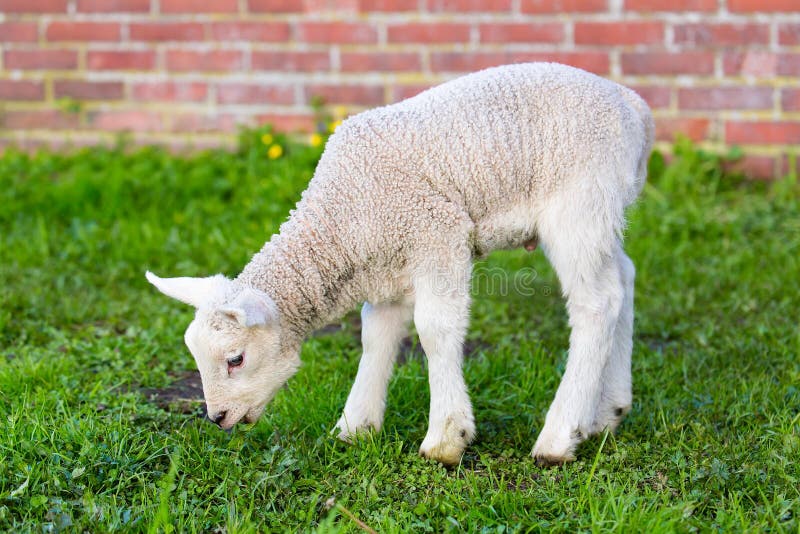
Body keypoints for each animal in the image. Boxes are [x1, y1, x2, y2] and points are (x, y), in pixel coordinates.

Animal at [146, 62, 654, 467]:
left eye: (235, 359)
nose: (218, 418)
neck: (340, 223)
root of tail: (634, 107)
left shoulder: (437, 234)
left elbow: (434, 331)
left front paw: (446, 439)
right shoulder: (385, 268)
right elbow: (376, 338)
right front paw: (354, 427)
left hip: (579, 202)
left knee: (596, 303)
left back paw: (559, 437)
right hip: (602, 209)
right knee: (624, 278)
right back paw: (609, 411)